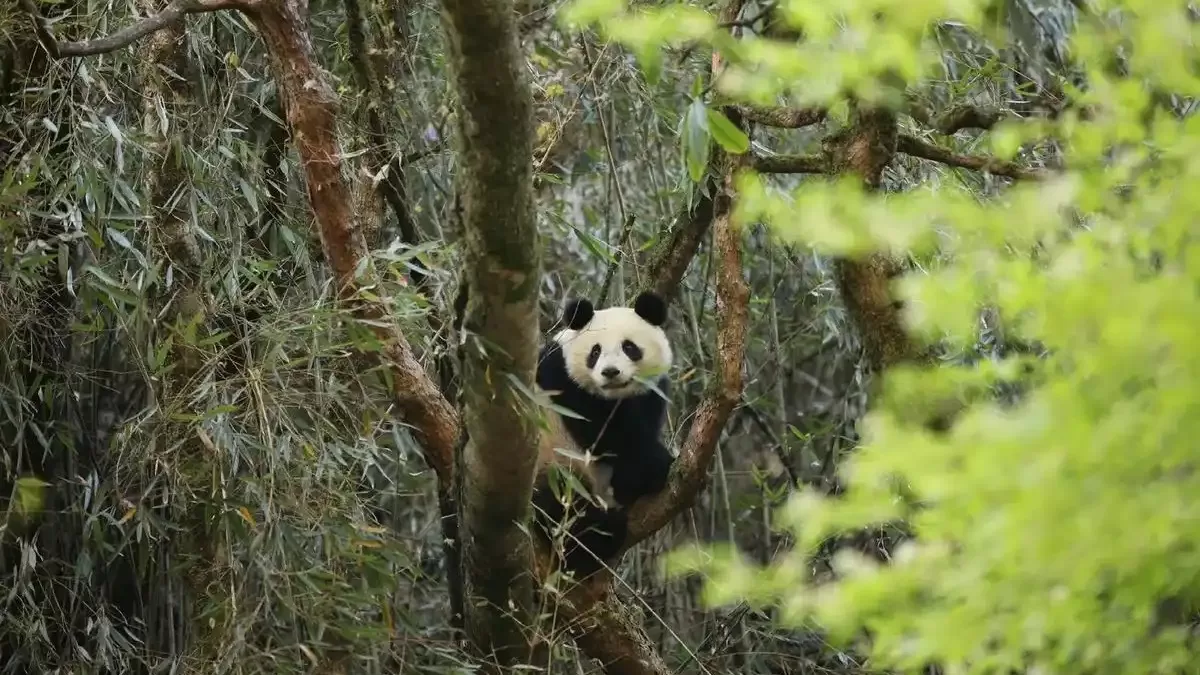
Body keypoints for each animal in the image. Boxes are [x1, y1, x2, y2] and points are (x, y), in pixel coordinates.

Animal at [530, 290, 676, 578]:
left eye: (629, 347)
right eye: (595, 351)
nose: (610, 372)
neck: (615, 396)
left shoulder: (650, 394)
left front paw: (636, 480)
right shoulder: (562, 382)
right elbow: (606, 434)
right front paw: (654, 465)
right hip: (550, 460)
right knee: (561, 503)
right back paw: (601, 533)